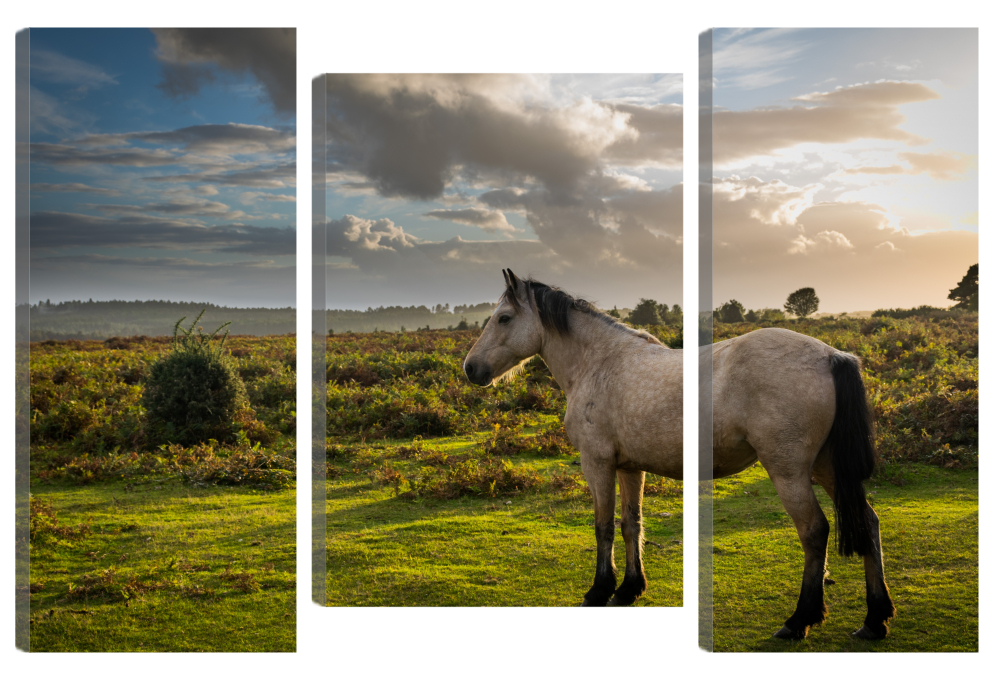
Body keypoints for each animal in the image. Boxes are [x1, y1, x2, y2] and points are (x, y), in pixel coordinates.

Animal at [460, 270, 680, 604]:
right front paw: (630, 587)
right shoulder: (630, 466)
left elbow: (604, 526)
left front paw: (600, 589)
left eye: (504, 318)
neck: (600, 364)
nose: (470, 368)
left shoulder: (597, 462)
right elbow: (631, 524)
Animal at [716, 326, 896, 640]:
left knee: (815, 530)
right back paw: (874, 618)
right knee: (868, 520)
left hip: (789, 470)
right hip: (830, 466)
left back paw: (800, 619)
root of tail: (831, 355)